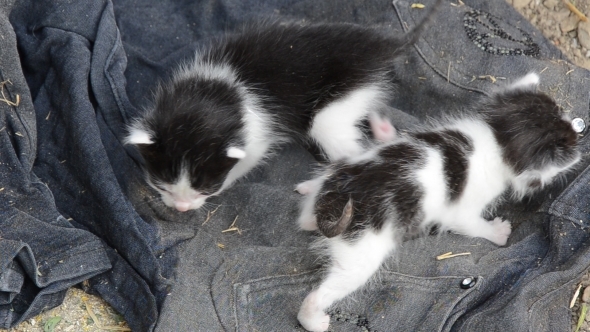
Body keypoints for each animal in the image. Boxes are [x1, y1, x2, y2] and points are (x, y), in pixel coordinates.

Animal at [125, 0, 444, 211]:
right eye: (161, 184)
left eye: (206, 187)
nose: (180, 208)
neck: (216, 92)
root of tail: (381, 46)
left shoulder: (257, 132)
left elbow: (248, 160)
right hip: (362, 88)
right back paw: (383, 129)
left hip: (337, 103)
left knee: (352, 153)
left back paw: (316, 185)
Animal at [296, 73, 584, 332]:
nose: (578, 130)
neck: (496, 140)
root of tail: (335, 198)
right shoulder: (460, 210)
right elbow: (472, 225)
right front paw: (498, 232)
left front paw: (385, 131)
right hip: (360, 254)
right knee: (321, 293)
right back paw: (313, 320)